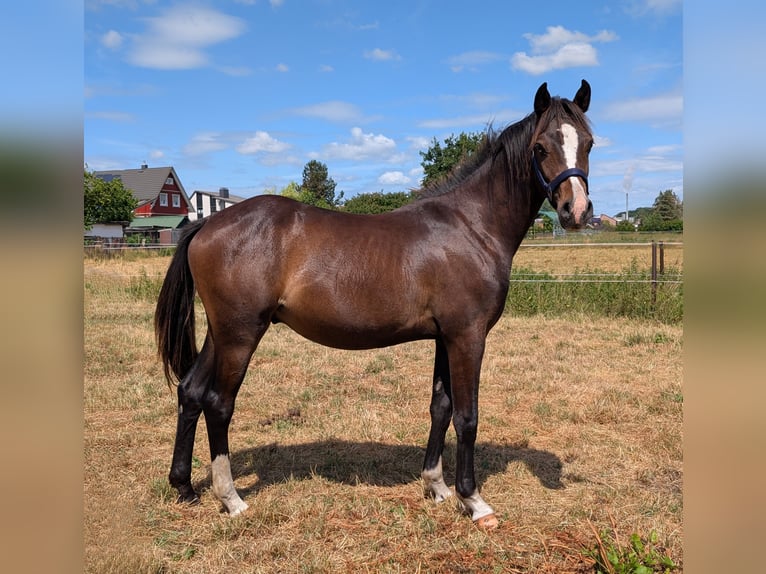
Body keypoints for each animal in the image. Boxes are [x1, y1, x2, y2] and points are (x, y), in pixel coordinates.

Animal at [155, 80, 593, 529]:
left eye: (589, 143)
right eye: (541, 147)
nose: (575, 211)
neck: (472, 227)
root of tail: (208, 222)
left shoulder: (444, 337)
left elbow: (440, 407)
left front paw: (436, 486)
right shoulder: (467, 336)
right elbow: (467, 416)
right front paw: (473, 501)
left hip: (221, 333)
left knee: (190, 392)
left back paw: (185, 487)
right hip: (240, 334)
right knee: (218, 403)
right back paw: (231, 498)